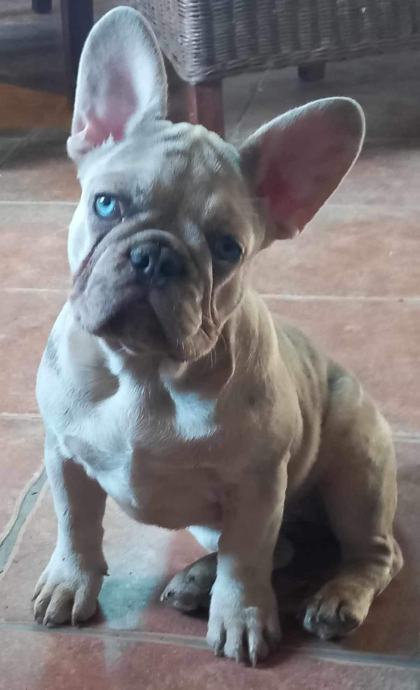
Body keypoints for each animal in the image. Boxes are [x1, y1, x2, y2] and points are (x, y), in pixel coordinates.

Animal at [33, 7, 402, 666]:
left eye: (227, 248)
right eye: (106, 205)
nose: (155, 256)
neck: (146, 373)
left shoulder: (256, 486)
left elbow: (246, 558)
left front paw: (242, 617)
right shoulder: (65, 457)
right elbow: (75, 527)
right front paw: (70, 582)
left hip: (356, 471)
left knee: (373, 555)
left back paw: (335, 598)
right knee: (281, 547)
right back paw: (194, 579)